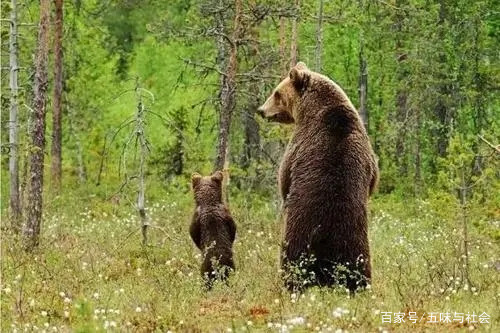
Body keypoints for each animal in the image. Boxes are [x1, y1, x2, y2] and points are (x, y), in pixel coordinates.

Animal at [260, 62, 376, 290]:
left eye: (276, 93)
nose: (261, 110)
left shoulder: (298, 144)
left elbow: (284, 177)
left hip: (298, 237)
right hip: (356, 245)